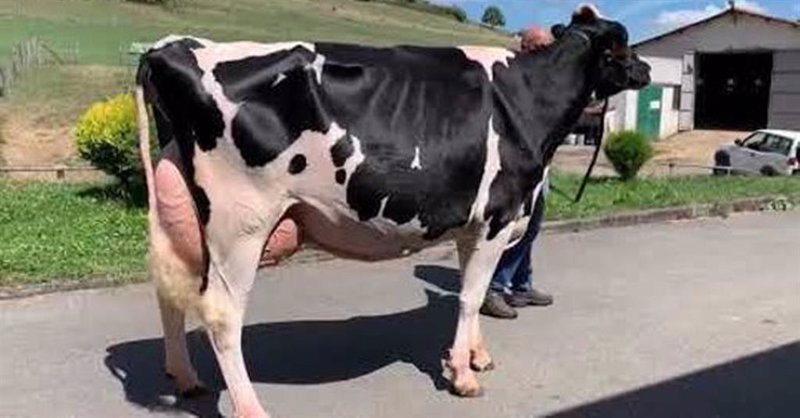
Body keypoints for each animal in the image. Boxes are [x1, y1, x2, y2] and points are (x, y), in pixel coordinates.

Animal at [134, 4, 649, 417]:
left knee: (170, 292)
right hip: (241, 221)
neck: (528, 99)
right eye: (622, 44)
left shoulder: (476, 224)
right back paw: (249, 408)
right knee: (221, 314)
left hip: (183, 212)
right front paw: (463, 375)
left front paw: (476, 356)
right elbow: (470, 297)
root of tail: (173, 46)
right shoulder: (497, 216)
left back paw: (185, 378)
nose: (646, 69)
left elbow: (475, 292)